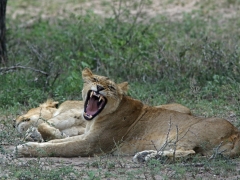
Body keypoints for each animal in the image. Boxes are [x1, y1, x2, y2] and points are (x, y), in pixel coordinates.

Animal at [14, 68, 240, 162]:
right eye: (95, 79)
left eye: (111, 87)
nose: (99, 88)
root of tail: (236, 132)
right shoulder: (86, 135)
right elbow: (55, 142)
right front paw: (30, 143)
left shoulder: (92, 144)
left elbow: (58, 147)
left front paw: (25, 149)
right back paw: (145, 155)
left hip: (185, 132)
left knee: (189, 153)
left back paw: (149, 158)